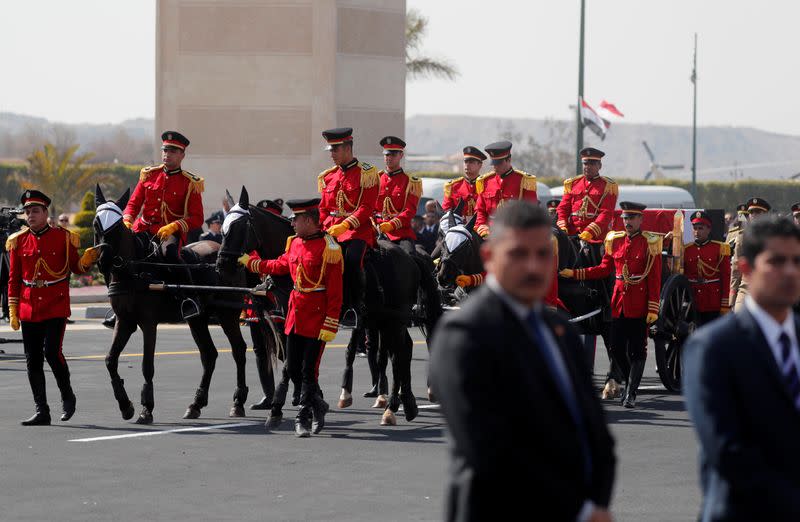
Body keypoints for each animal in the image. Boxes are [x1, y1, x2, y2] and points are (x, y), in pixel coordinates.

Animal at [95, 185, 272, 420]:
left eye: (116, 228)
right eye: (96, 224)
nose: (103, 261)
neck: (134, 270)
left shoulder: (148, 322)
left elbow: (147, 364)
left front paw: (146, 407)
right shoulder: (124, 321)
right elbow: (110, 360)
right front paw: (125, 405)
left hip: (227, 314)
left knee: (238, 350)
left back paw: (238, 401)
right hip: (198, 318)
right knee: (209, 355)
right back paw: (196, 403)